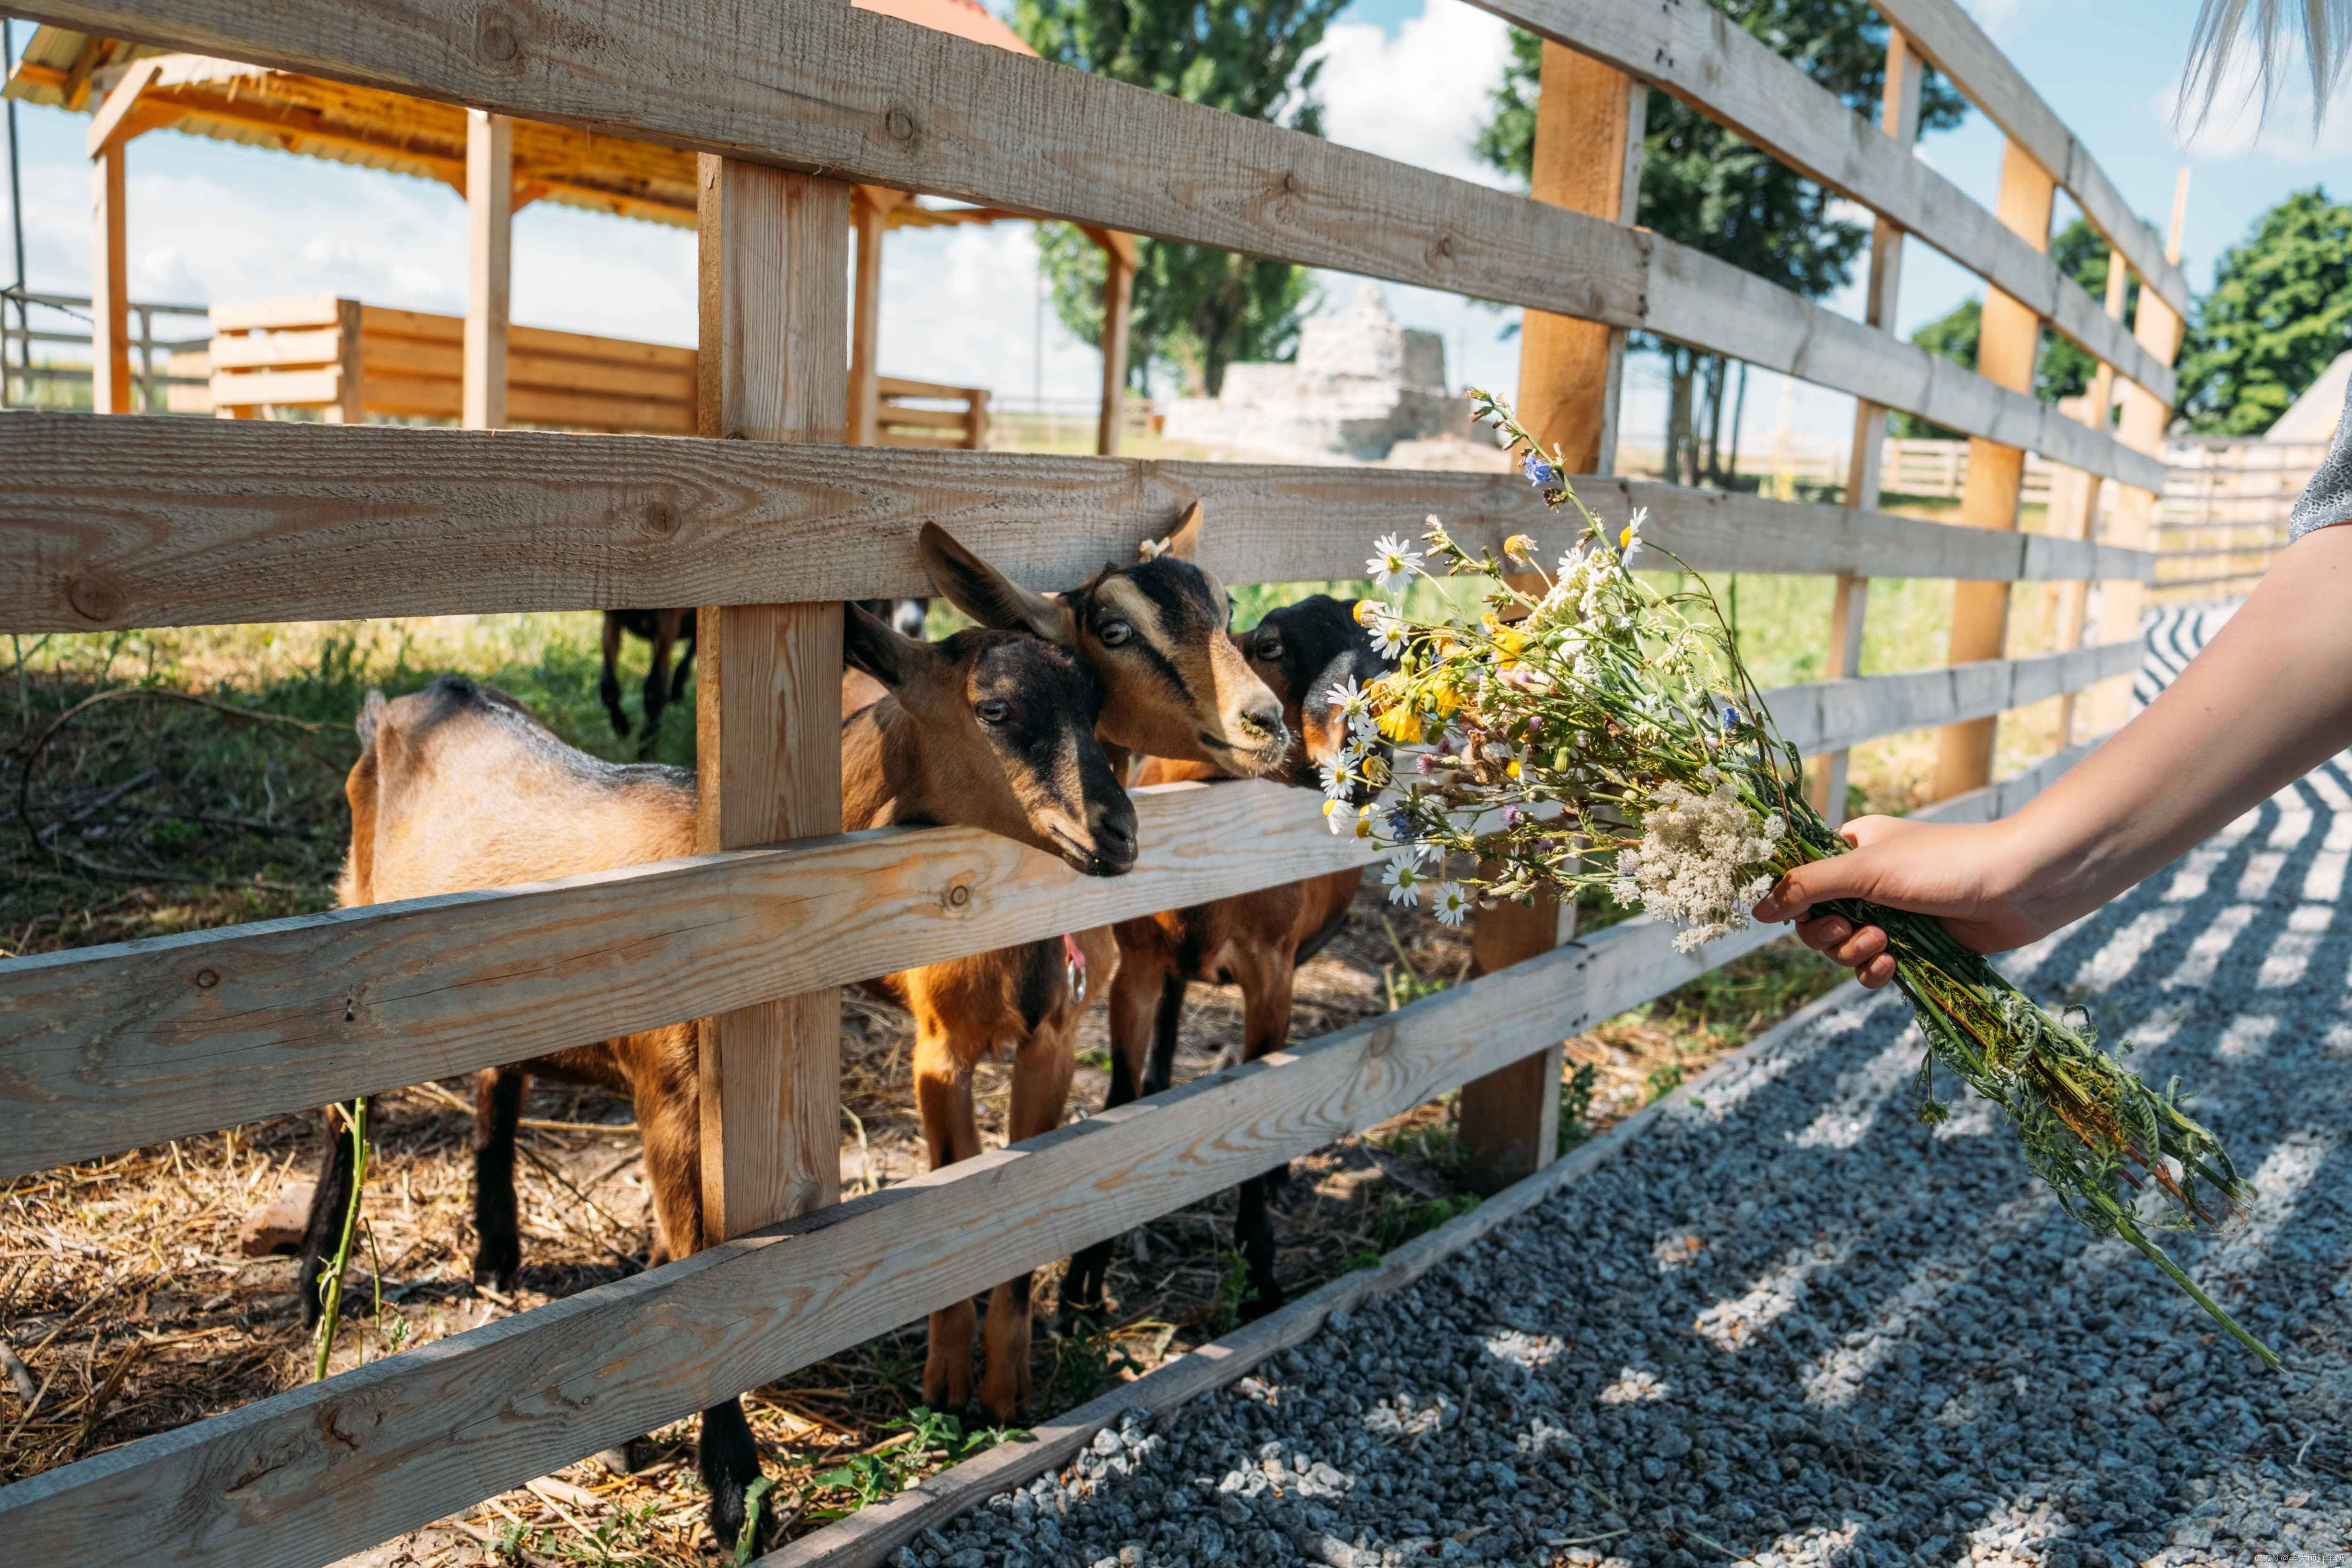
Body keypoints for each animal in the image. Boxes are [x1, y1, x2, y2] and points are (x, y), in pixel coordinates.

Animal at [306, 606, 1138, 1552]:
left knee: (497, 1087)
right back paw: (317, 1283)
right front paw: (738, 1492)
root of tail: (402, 705)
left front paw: (644, 1438)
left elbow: (686, 1249)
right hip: (357, 920)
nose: (1121, 831)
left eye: (1095, 699)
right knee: (348, 1109)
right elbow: (700, 1263)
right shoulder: (670, 1092)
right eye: (994, 709)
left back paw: (496, 1255)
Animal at [1058, 595, 1383, 1335]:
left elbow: (1261, 1101)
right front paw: (1081, 1282)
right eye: (1270, 646)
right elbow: (1122, 1099)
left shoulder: (1272, 975)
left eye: (1392, 657)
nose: (1365, 755)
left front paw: (1260, 1274)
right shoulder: (1137, 969)